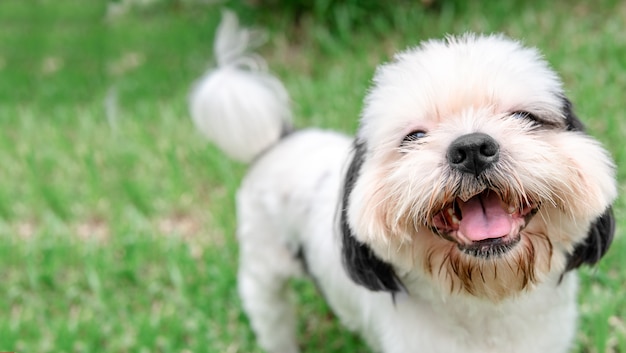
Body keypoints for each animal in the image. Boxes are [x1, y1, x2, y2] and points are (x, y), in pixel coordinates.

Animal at [189, 11, 616, 352]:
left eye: (525, 117)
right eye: (413, 137)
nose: (472, 148)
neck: (486, 298)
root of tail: (278, 141)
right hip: (263, 277)